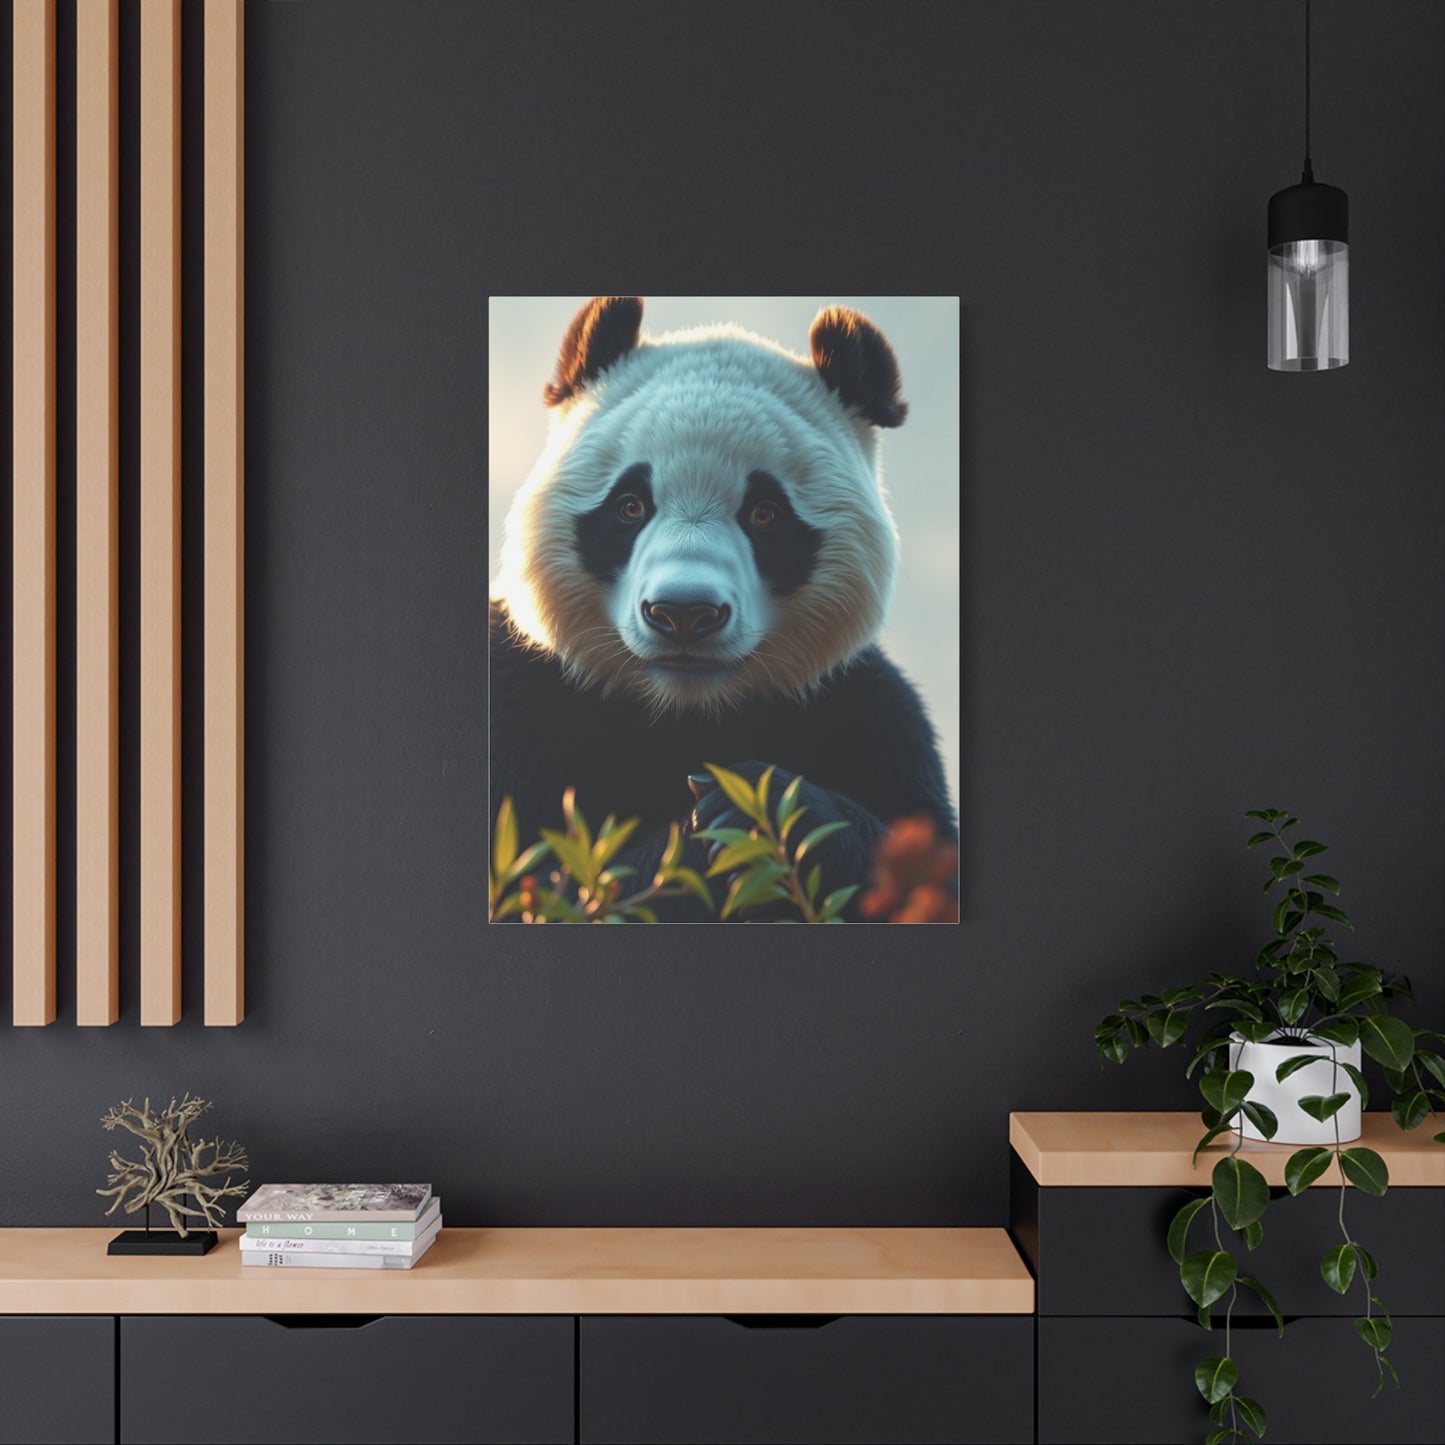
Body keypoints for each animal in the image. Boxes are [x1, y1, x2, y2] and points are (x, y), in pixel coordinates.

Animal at [490, 296, 955, 920]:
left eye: (765, 514)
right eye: (630, 506)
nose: (684, 613)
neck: (687, 711)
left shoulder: (868, 713)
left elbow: (925, 866)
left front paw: (760, 807)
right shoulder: (523, 697)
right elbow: (541, 885)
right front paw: (709, 830)